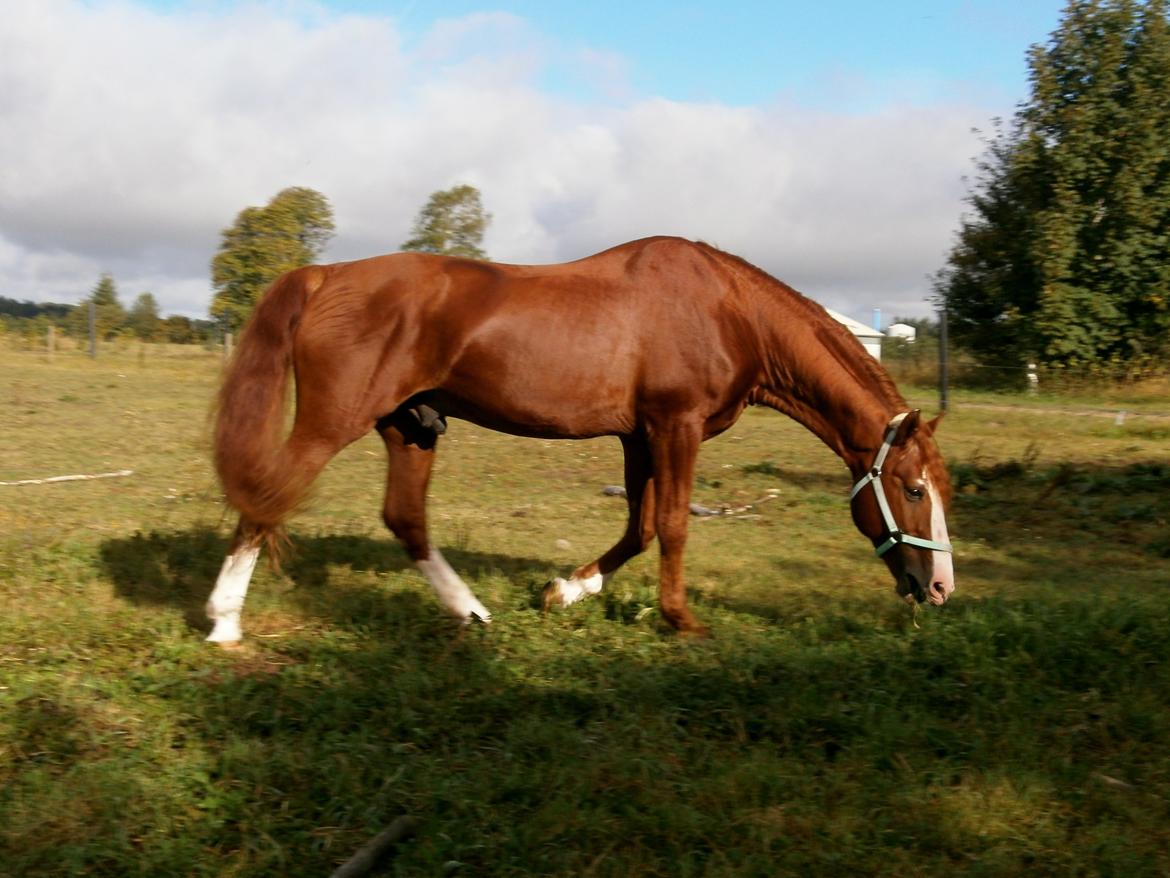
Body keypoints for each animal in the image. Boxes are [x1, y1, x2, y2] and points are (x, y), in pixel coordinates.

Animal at [205, 237, 954, 641]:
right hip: (333, 422)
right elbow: (672, 524)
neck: (727, 312)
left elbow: (641, 527)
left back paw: (472, 612)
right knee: (268, 498)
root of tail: (324, 276)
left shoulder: (639, 436)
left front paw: (565, 590)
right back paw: (224, 623)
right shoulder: (675, 426)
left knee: (405, 519)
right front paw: (681, 619)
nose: (941, 587)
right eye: (913, 489)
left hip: (410, 428)